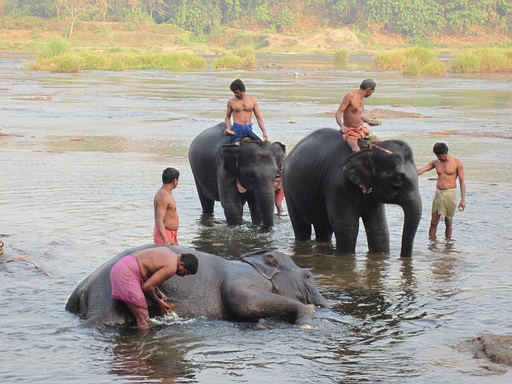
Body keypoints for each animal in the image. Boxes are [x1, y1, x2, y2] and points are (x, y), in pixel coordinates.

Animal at [282, 129, 422, 258]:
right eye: (398, 180)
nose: (402, 257)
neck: (369, 150)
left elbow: (379, 229)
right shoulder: (337, 185)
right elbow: (347, 226)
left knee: (324, 229)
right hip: (288, 190)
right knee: (301, 227)